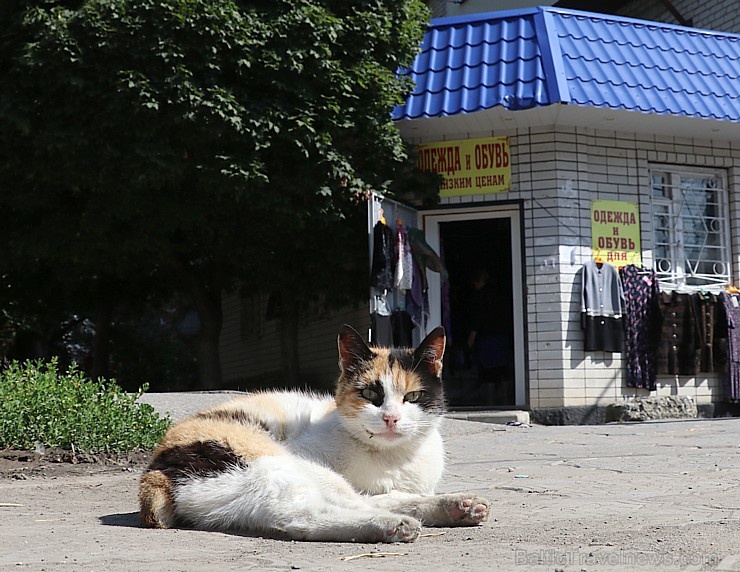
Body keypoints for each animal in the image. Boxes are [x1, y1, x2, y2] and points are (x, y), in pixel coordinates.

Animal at [140, 324, 492, 544]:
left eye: (414, 397)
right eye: (370, 394)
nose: (391, 418)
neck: (392, 459)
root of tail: (157, 470)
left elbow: (390, 494)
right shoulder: (308, 456)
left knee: (369, 500)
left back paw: (457, 507)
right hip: (279, 464)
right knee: (309, 514)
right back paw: (393, 525)